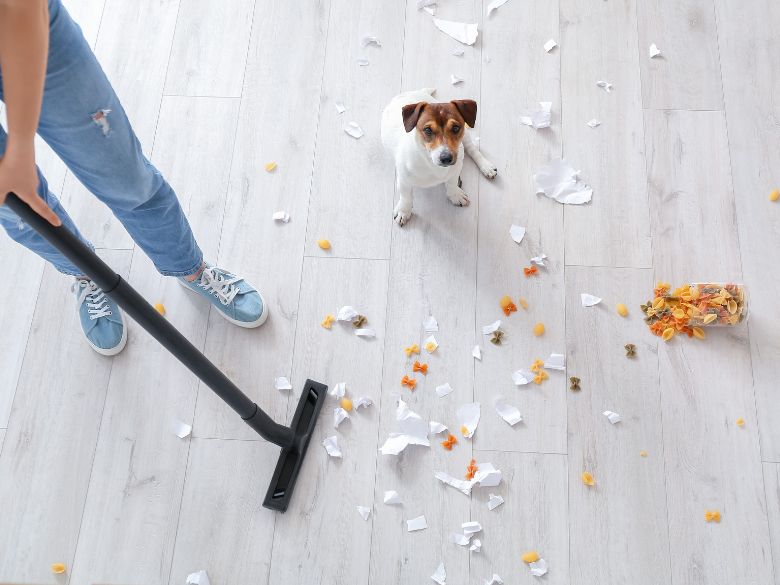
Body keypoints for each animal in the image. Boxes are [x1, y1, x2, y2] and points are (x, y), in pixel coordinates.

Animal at [380, 88, 496, 226]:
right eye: (427, 130)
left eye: (456, 128)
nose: (446, 158)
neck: (431, 164)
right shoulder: (403, 179)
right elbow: (405, 195)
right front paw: (404, 211)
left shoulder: (455, 170)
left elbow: (451, 183)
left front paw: (455, 194)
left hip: (466, 137)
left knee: (472, 150)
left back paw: (486, 167)